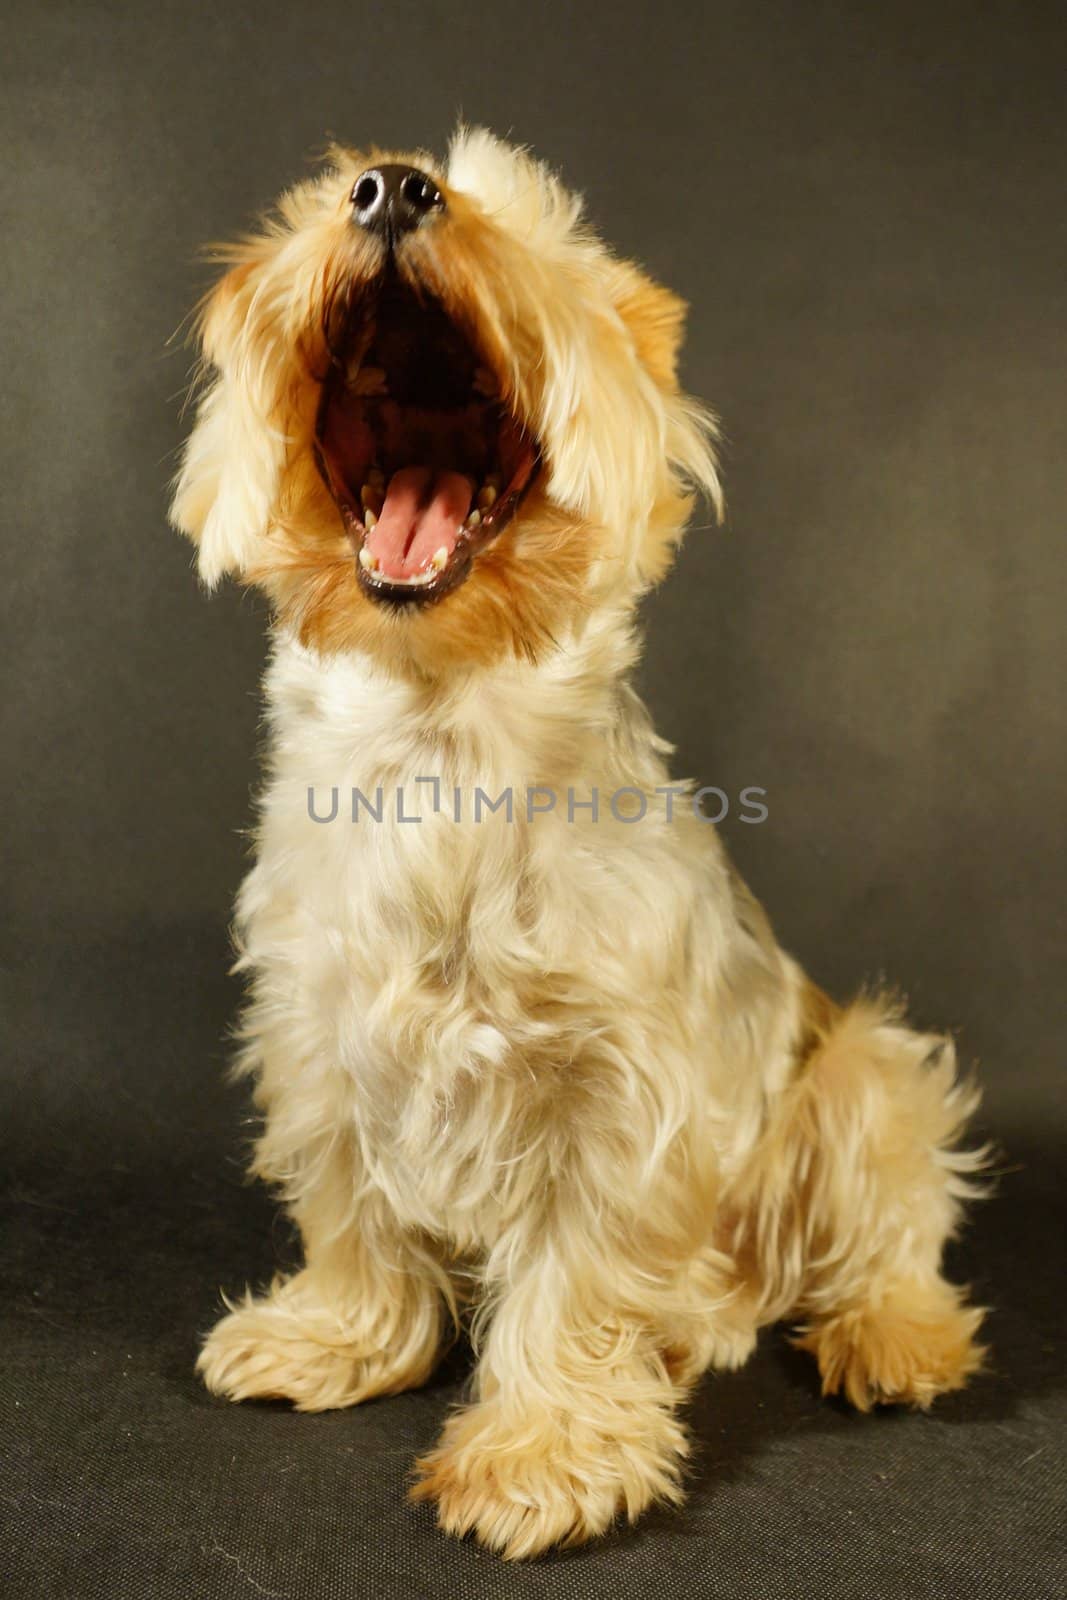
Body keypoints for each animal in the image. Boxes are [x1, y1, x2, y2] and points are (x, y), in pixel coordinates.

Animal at [173, 131, 985, 1555]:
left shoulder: (617, 1092)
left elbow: (579, 1270)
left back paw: (886, 1336)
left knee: (888, 1222)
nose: (390, 186)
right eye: (330, 194)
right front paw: (337, 1337)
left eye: (533, 232)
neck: (440, 737)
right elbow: (350, 1208)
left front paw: (543, 1451)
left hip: (858, 1071)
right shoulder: (319, 1034)